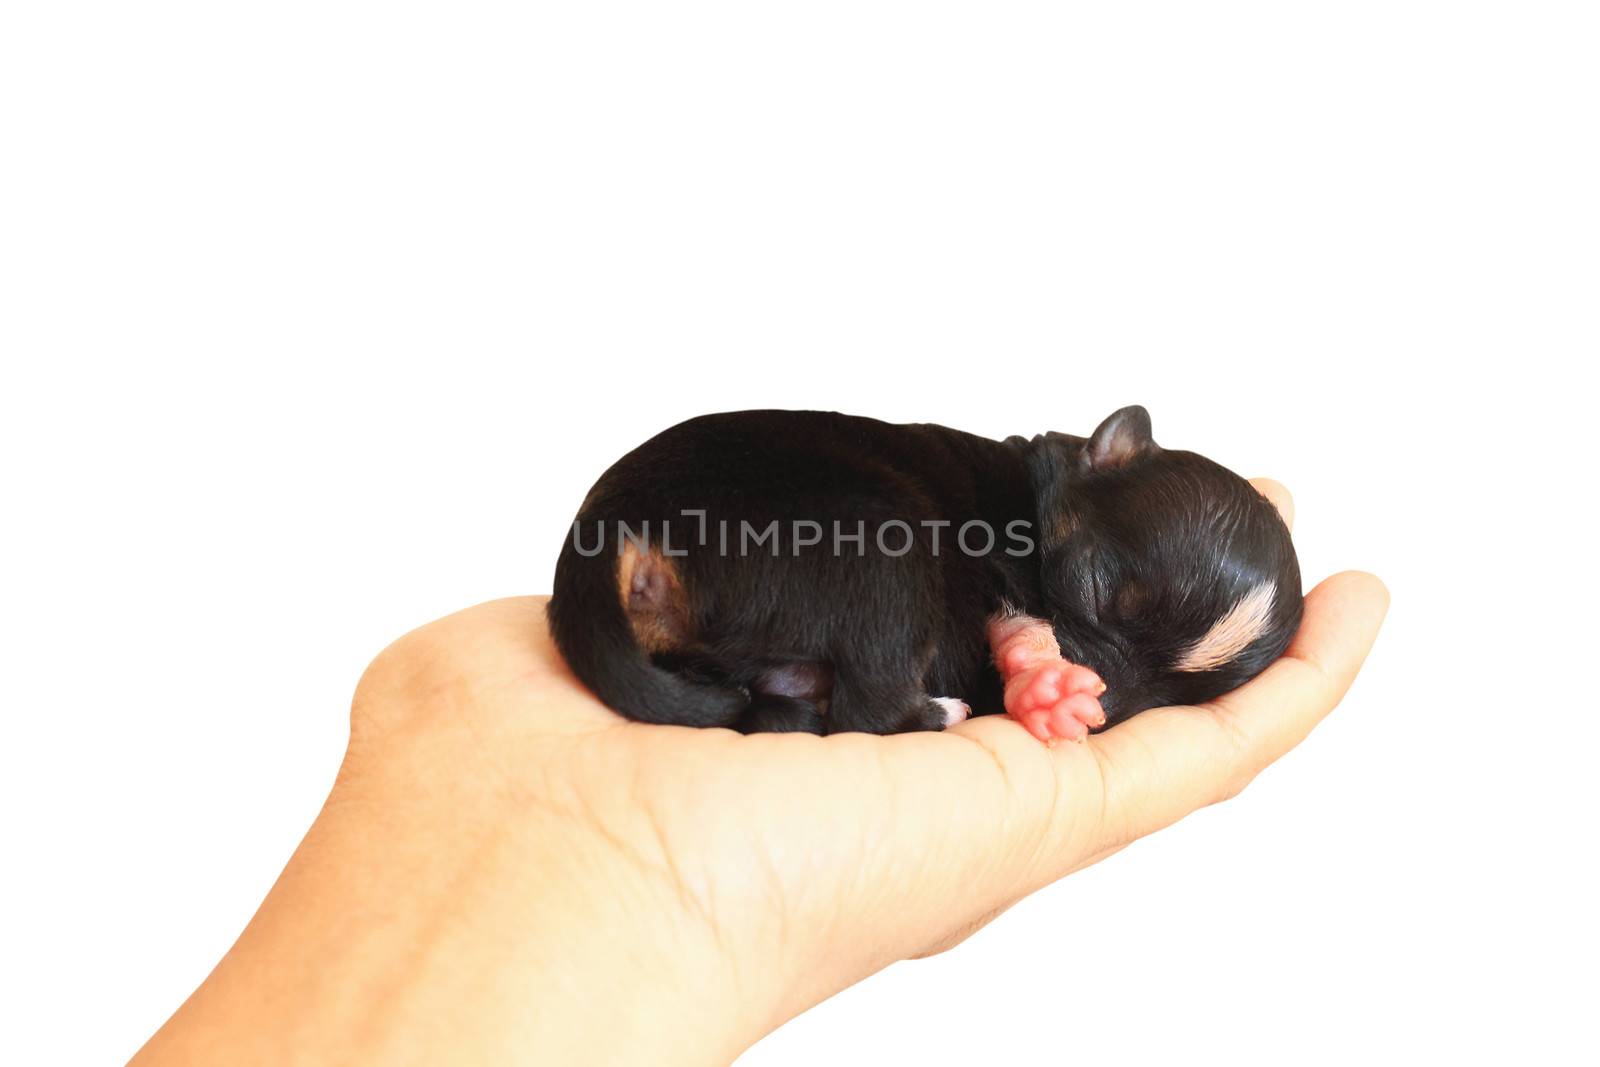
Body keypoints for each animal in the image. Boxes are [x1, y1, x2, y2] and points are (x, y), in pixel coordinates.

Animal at [547, 404, 1299, 739]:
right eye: (1093, 588)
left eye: (1172, 700)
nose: (1105, 705)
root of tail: (613, 528)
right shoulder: (994, 567)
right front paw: (1043, 682)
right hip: (883, 542)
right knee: (868, 711)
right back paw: (944, 709)